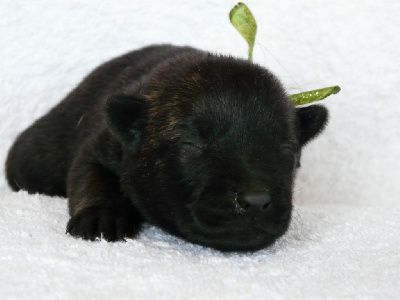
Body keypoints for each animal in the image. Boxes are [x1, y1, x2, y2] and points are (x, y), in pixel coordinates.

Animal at [4, 44, 326, 251]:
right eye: (191, 144)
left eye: (286, 149)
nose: (256, 201)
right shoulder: (100, 149)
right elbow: (93, 179)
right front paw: (100, 218)